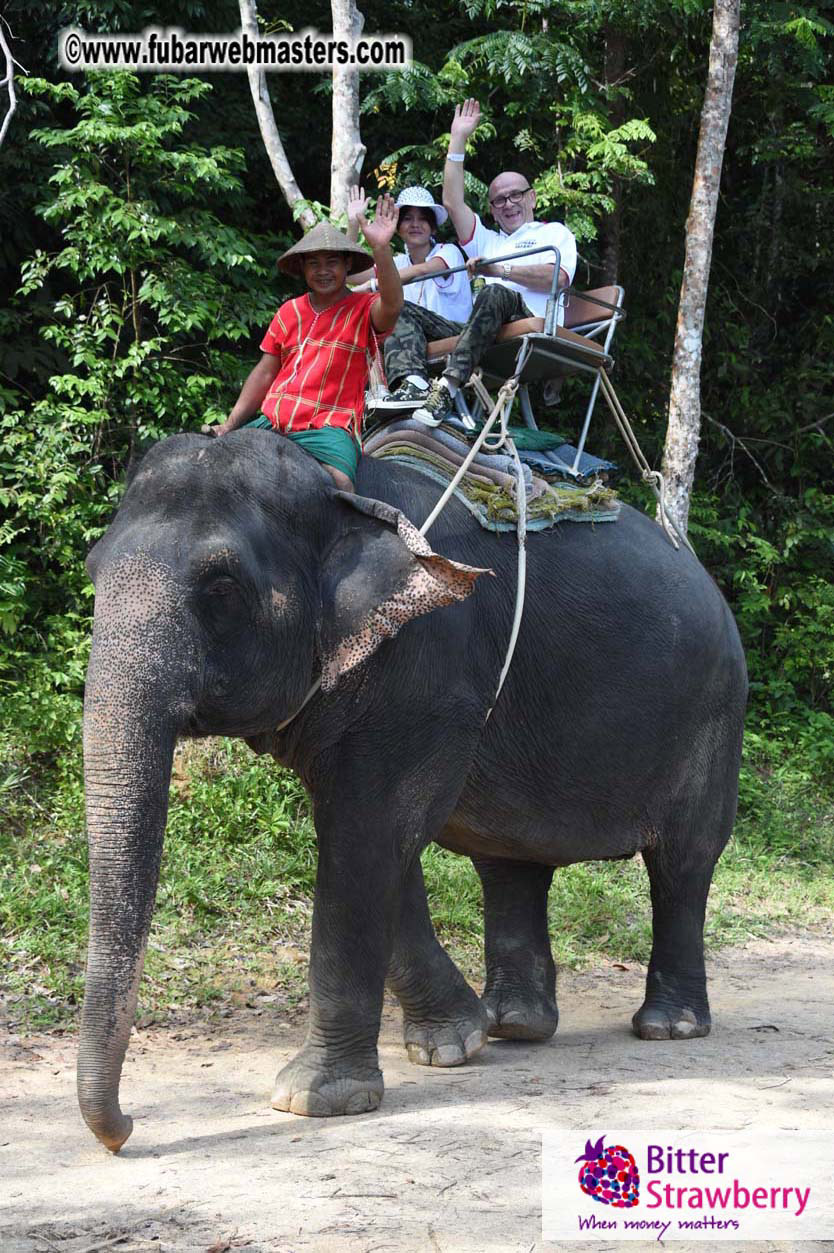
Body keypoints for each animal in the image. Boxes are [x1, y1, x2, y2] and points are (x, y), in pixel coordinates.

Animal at [79, 428, 747, 1152]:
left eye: (221, 586)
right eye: (91, 571)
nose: (124, 1132)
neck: (337, 491)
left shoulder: (425, 665)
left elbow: (370, 831)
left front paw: (313, 1100)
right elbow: (372, 839)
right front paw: (454, 1043)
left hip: (714, 713)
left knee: (682, 863)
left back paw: (668, 1027)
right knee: (509, 863)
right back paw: (513, 1025)